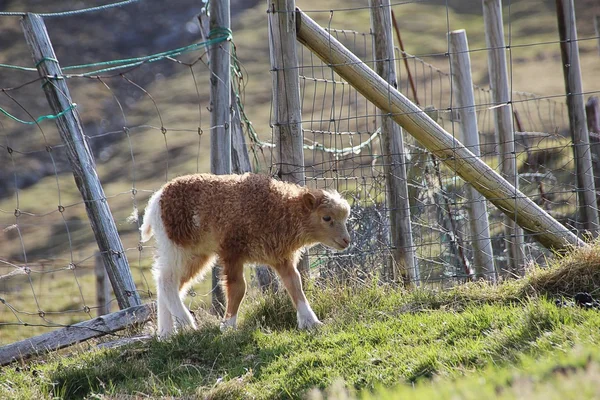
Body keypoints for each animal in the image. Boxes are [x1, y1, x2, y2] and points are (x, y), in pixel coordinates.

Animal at [139, 172, 352, 338]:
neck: (279, 209)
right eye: (327, 218)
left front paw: (311, 321)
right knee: (166, 280)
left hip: (197, 253)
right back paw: (186, 323)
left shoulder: (279, 255)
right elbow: (238, 288)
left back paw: (167, 333)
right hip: (177, 245)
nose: (346, 241)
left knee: (171, 283)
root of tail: (157, 198)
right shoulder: (232, 251)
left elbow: (295, 284)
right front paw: (228, 326)